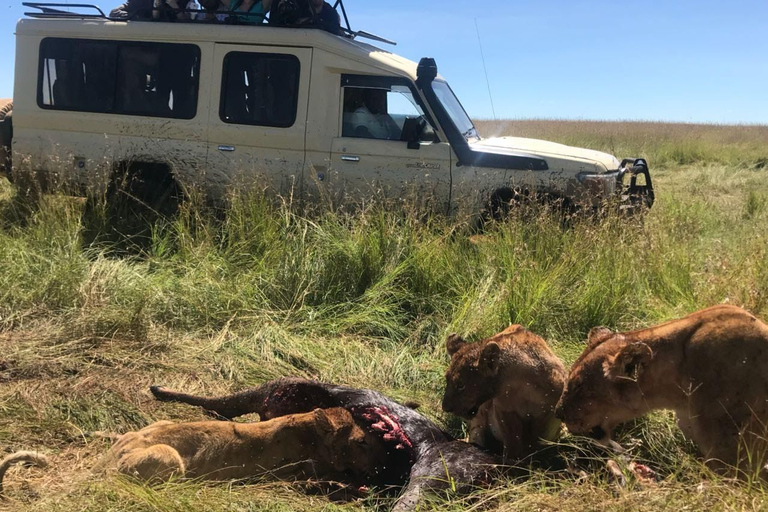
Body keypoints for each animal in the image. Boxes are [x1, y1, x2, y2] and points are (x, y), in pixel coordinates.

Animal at [440, 326, 568, 462]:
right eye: (447, 380)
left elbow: (534, 438)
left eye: (461, 385)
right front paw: (511, 462)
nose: (445, 408)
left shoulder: (546, 411)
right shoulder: (504, 410)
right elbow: (512, 440)